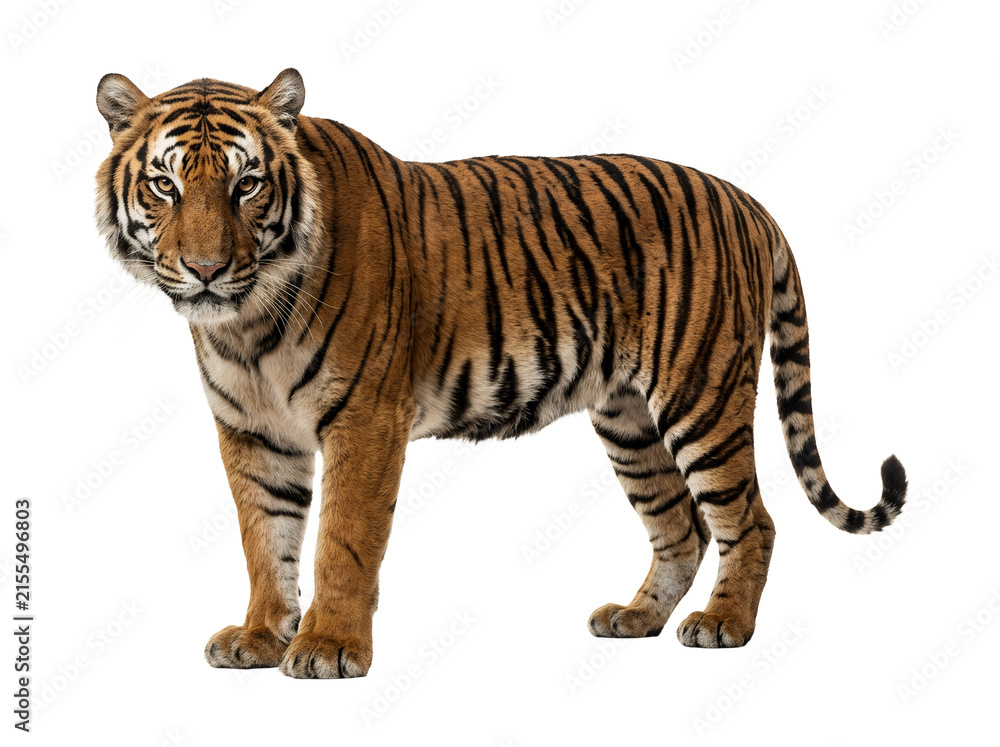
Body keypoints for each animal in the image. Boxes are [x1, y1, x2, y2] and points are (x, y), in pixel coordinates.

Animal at [94, 68, 907, 679]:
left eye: (248, 185)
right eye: (165, 186)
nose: (205, 269)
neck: (247, 323)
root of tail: (746, 199)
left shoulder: (365, 420)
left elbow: (343, 542)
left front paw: (328, 646)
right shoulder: (254, 432)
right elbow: (265, 538)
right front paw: (262, 637)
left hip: (699, 395)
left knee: (748, 518)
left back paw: (724, 623)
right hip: (628, 418)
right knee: (680, 524)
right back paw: (636, 617)